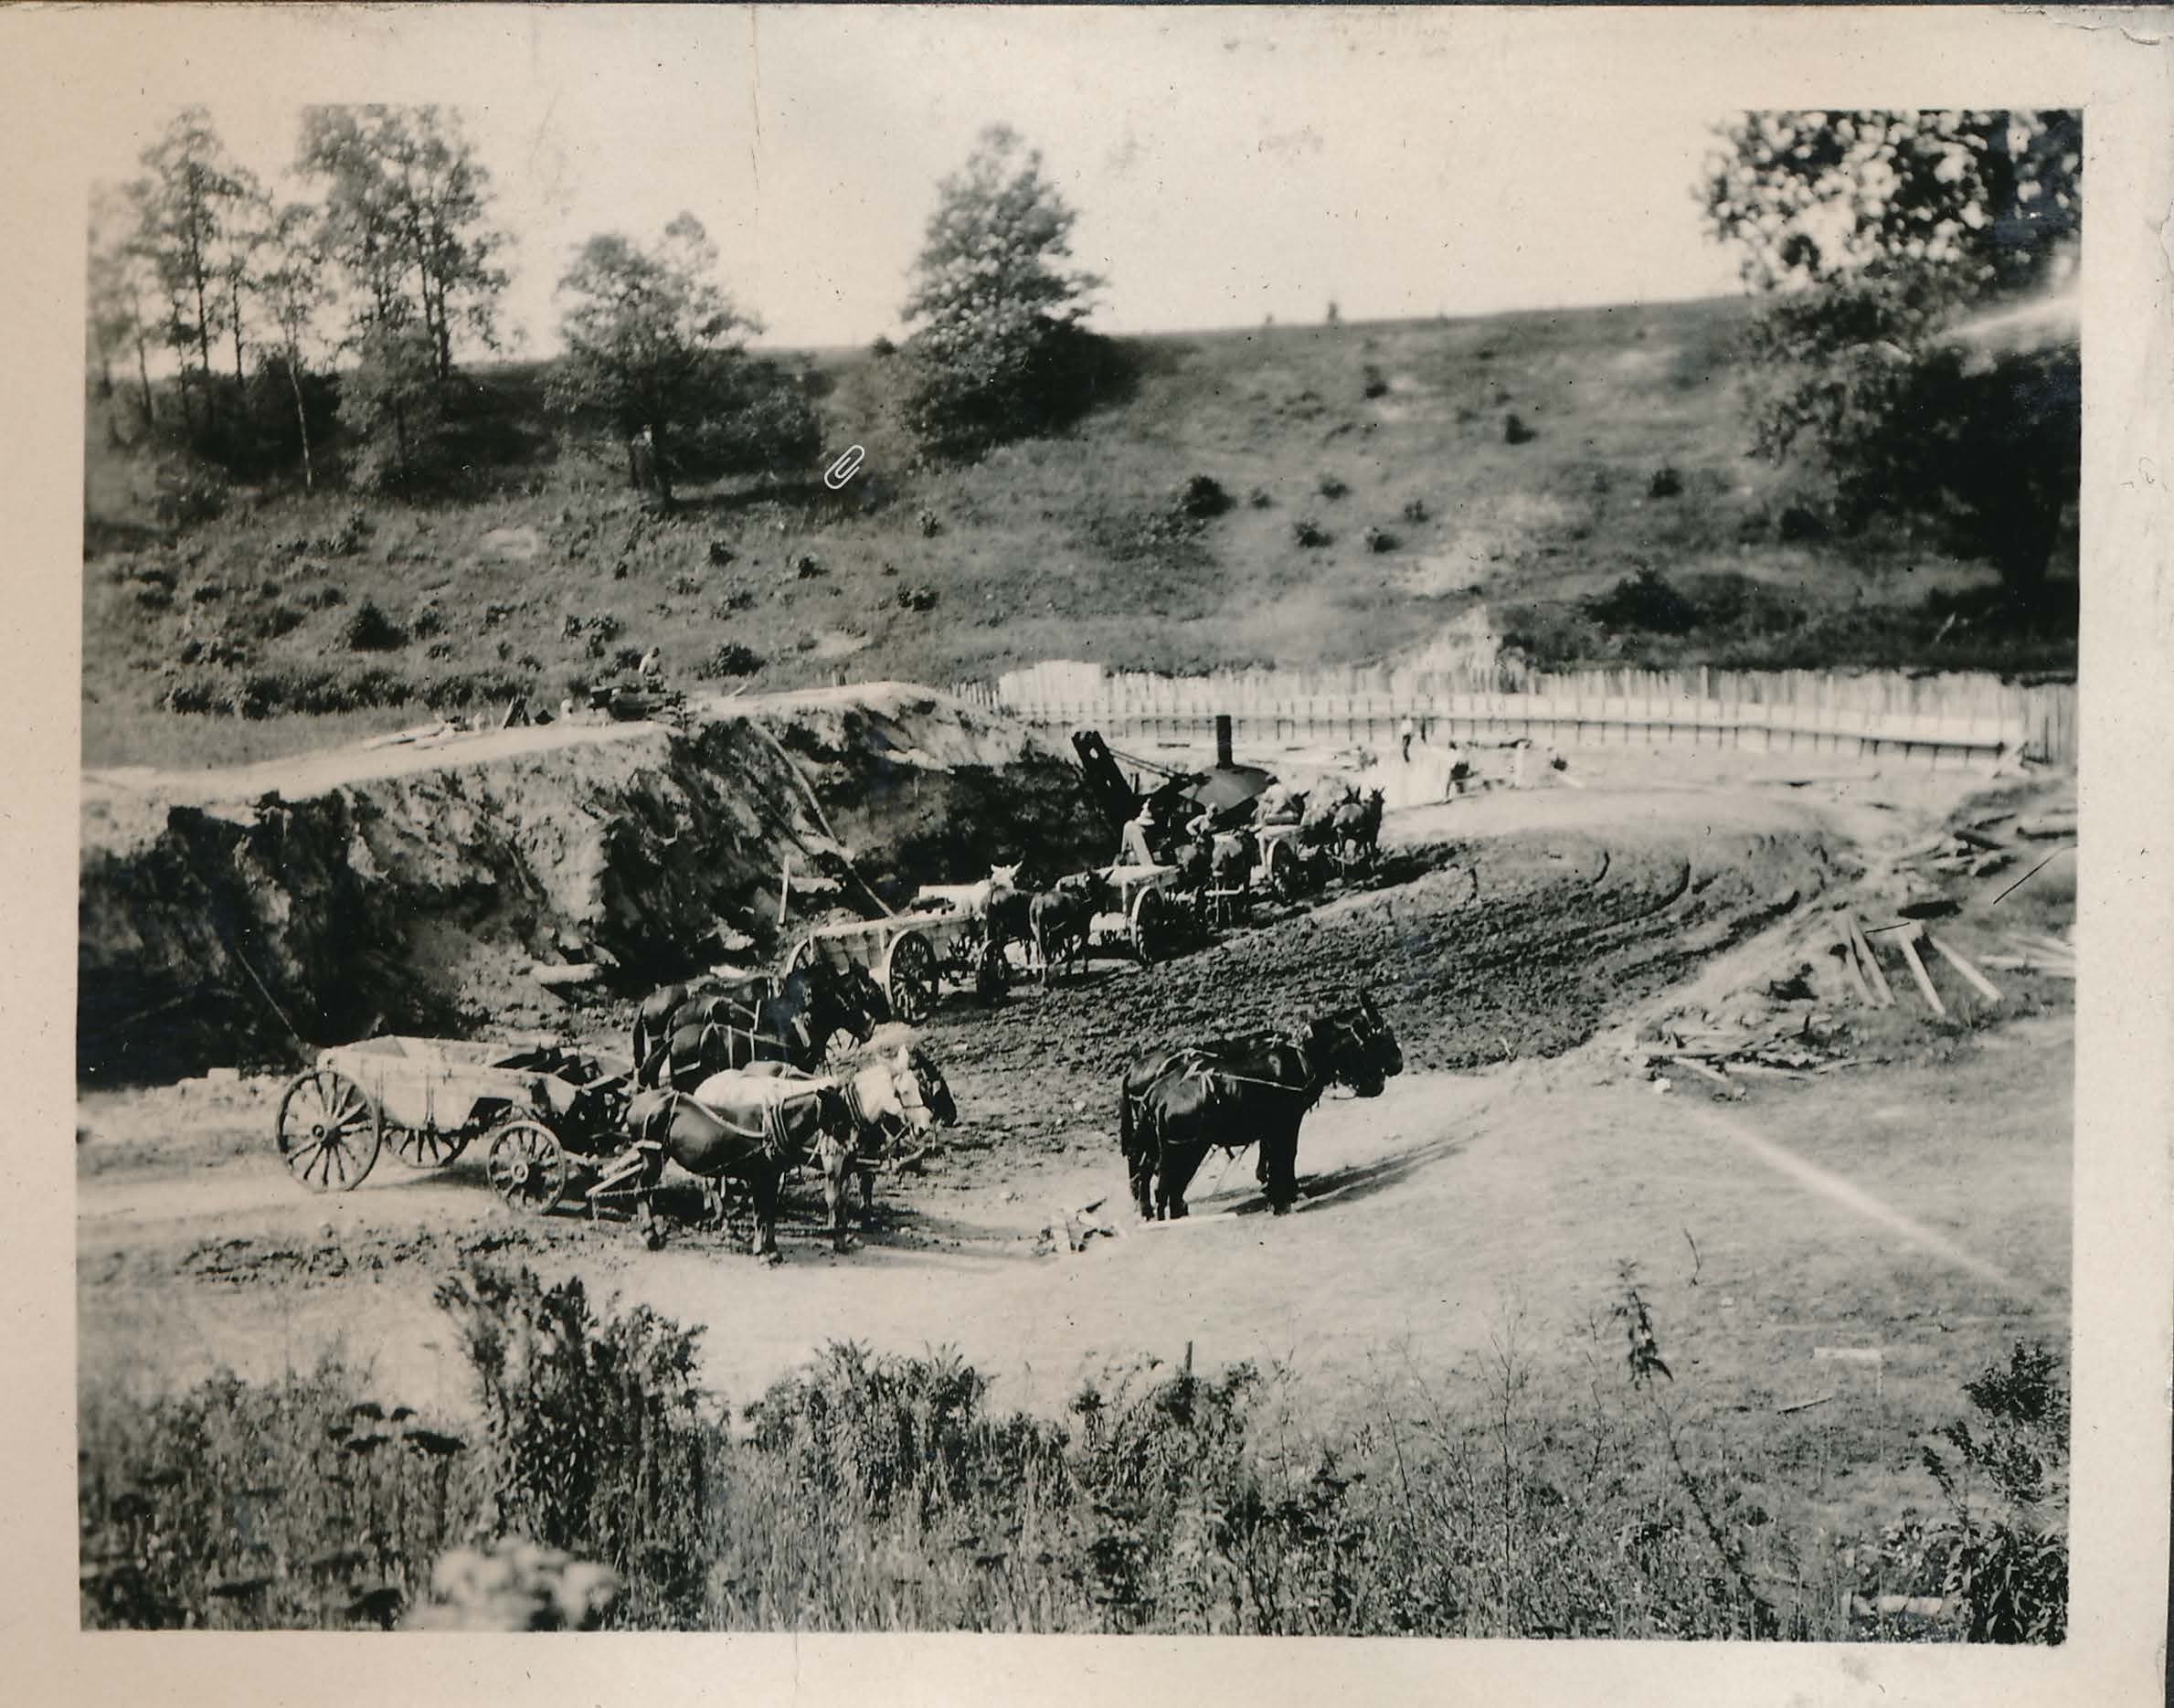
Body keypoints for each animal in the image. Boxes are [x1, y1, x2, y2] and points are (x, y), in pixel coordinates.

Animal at [621, 1073, 856, 1260]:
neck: (770, 1128)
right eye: (839, 1109)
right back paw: (650, 1236)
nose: (853, 1145)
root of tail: (636, 1102)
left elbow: (769, 1212)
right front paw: (763, 1252)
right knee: (641, 1190)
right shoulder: (760, 1177)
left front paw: (771, 1250)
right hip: (652, 1155)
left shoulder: (771, 1176)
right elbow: (761, 1214)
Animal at [1121, 991, 1408, 1216]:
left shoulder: (1273, 1127)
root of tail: (1154, 1092)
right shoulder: (1287, 1122)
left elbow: (1275, 1155)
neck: (1302, 1055)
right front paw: (1283, 1197)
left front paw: (1277, 1190)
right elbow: (1284, 1155)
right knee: (1162, 1180)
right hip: (1184, 1148)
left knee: (1156, 1176)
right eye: (1382, 1036)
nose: (1398, 1063)